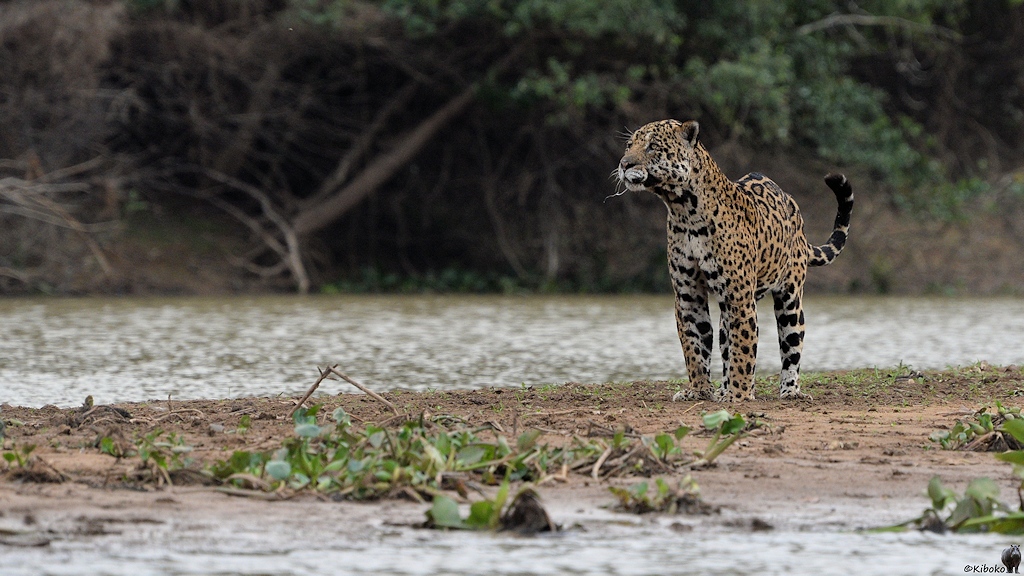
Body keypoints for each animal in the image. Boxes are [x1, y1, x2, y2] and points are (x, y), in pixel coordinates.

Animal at [615, 119, 853, 401]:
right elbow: (694, 346)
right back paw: (723, 388)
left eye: (652, 147)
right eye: (629, 145)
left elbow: (743, 348)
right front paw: (699, 391)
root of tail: (794, 209)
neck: (683, 209)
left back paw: (789, 390)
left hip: (790, 297)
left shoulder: (739, 296)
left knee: (791, 344)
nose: (624, 164)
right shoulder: (687, 294)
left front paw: (738, 395)